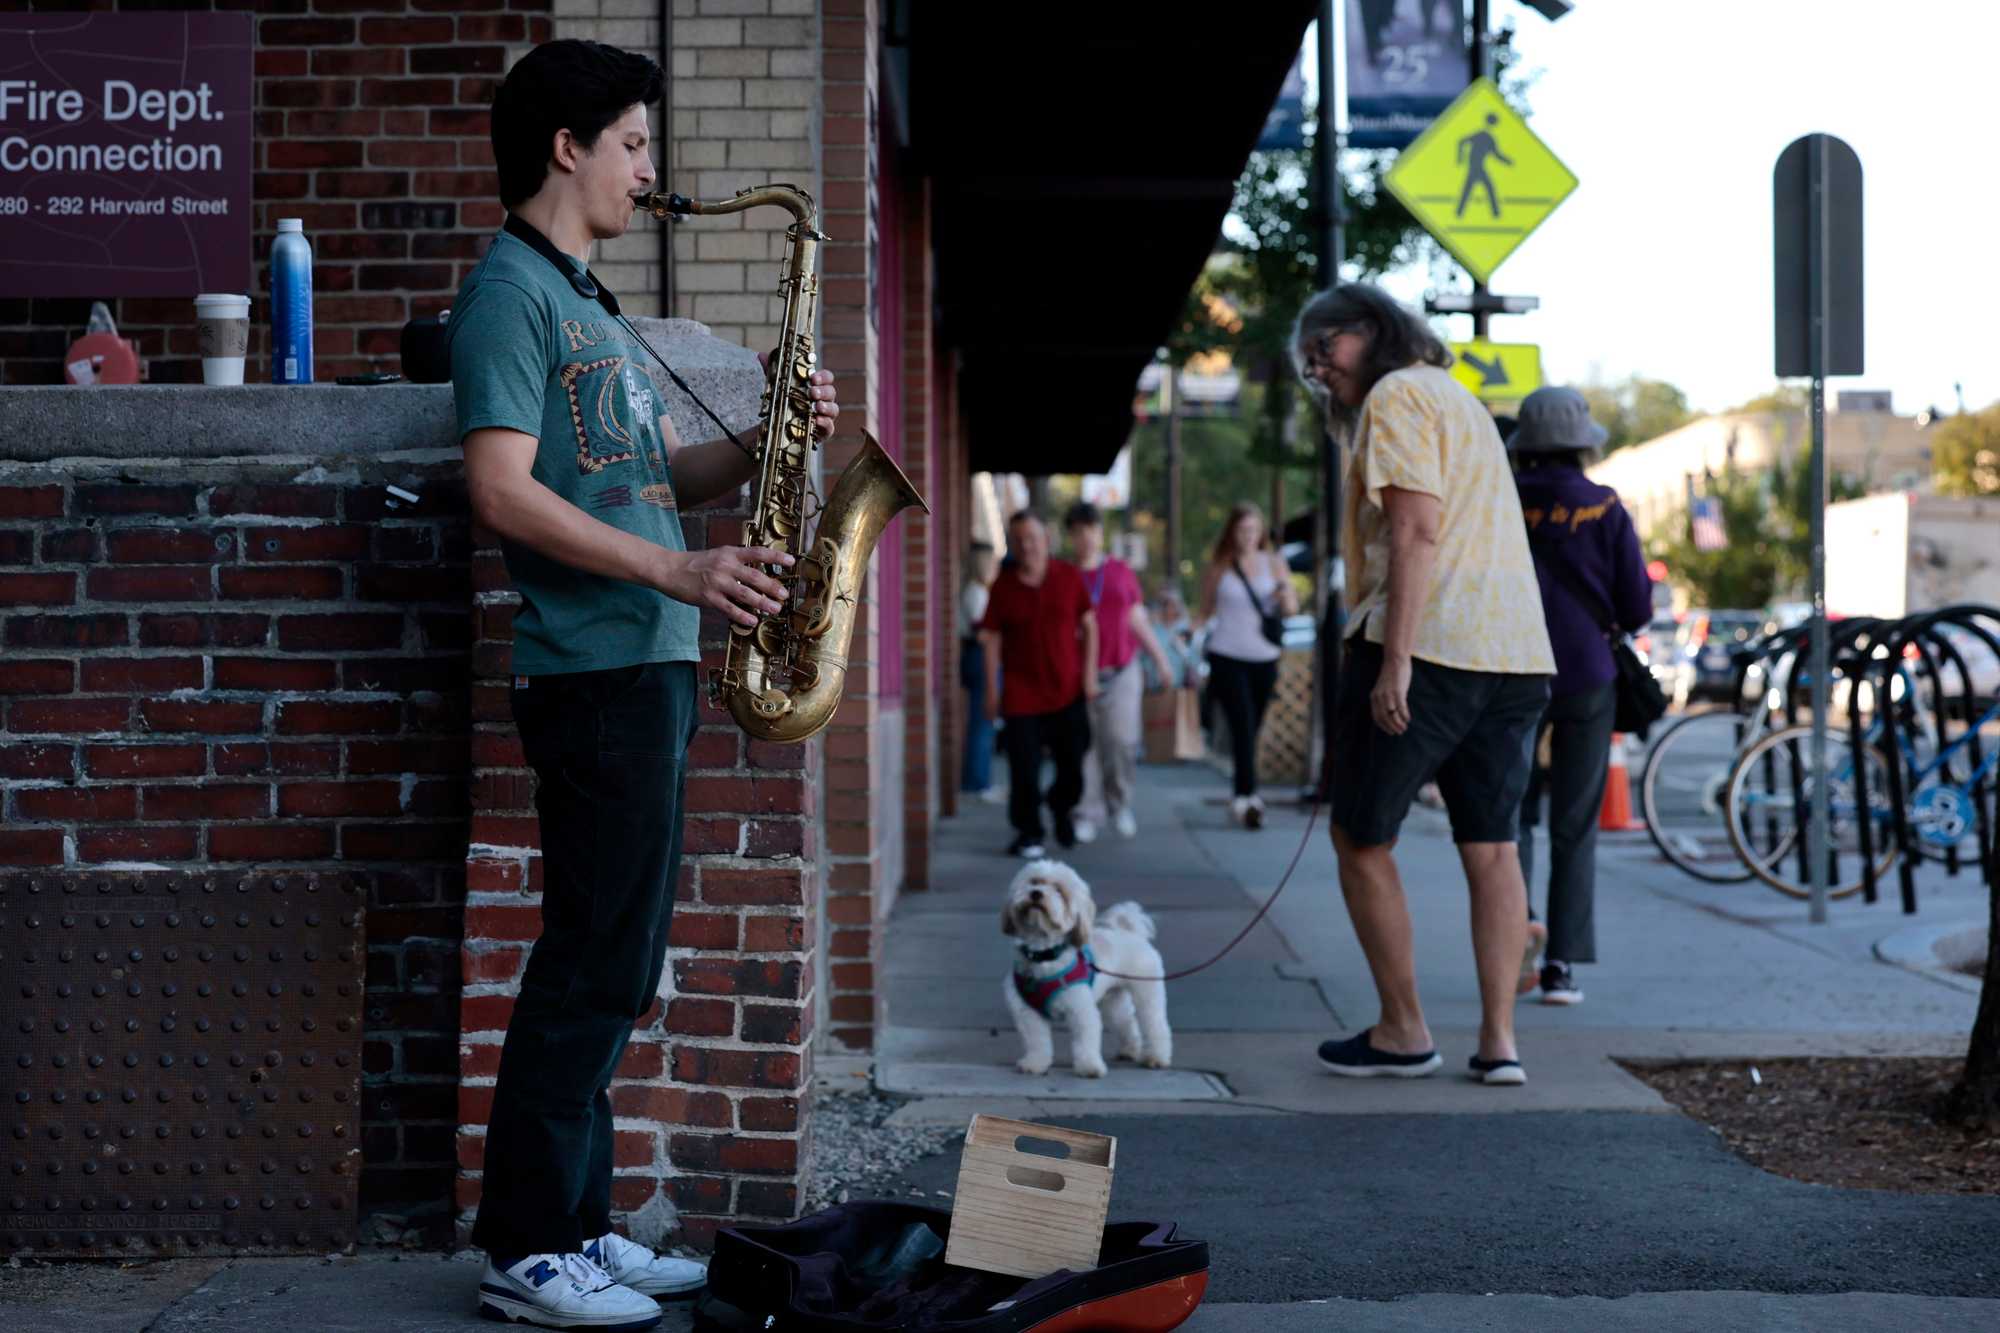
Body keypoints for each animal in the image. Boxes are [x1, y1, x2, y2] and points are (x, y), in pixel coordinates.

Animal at [1000, 856, 1168, 1072]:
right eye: (1034, 881)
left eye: (1059, 890)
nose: (1036, 893)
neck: (1044, 954)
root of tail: (1130, 931)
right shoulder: (1027, 1013)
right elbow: (1036, 1041)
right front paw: (1034, 1063)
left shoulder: (1080, 1009)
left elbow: (1085, 1040)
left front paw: (1089, 1067)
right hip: (1113, 999)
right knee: (1126, 1021)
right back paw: (1129, 1050)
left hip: (1147, 992)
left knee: (1155, 1023)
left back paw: (1157, 1057)